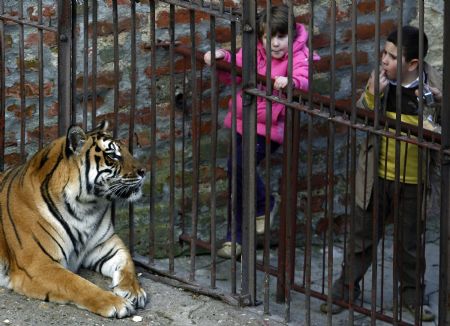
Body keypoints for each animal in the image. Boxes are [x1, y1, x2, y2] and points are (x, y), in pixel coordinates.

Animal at [0, 121, 148, 318]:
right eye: (112, 155)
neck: (86, 209)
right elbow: (78, 284)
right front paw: (116, 303)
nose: (144, 171)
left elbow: (127, 262)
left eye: (127, 151)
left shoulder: (106, 243)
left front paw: (133, 291)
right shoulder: (38, 264)